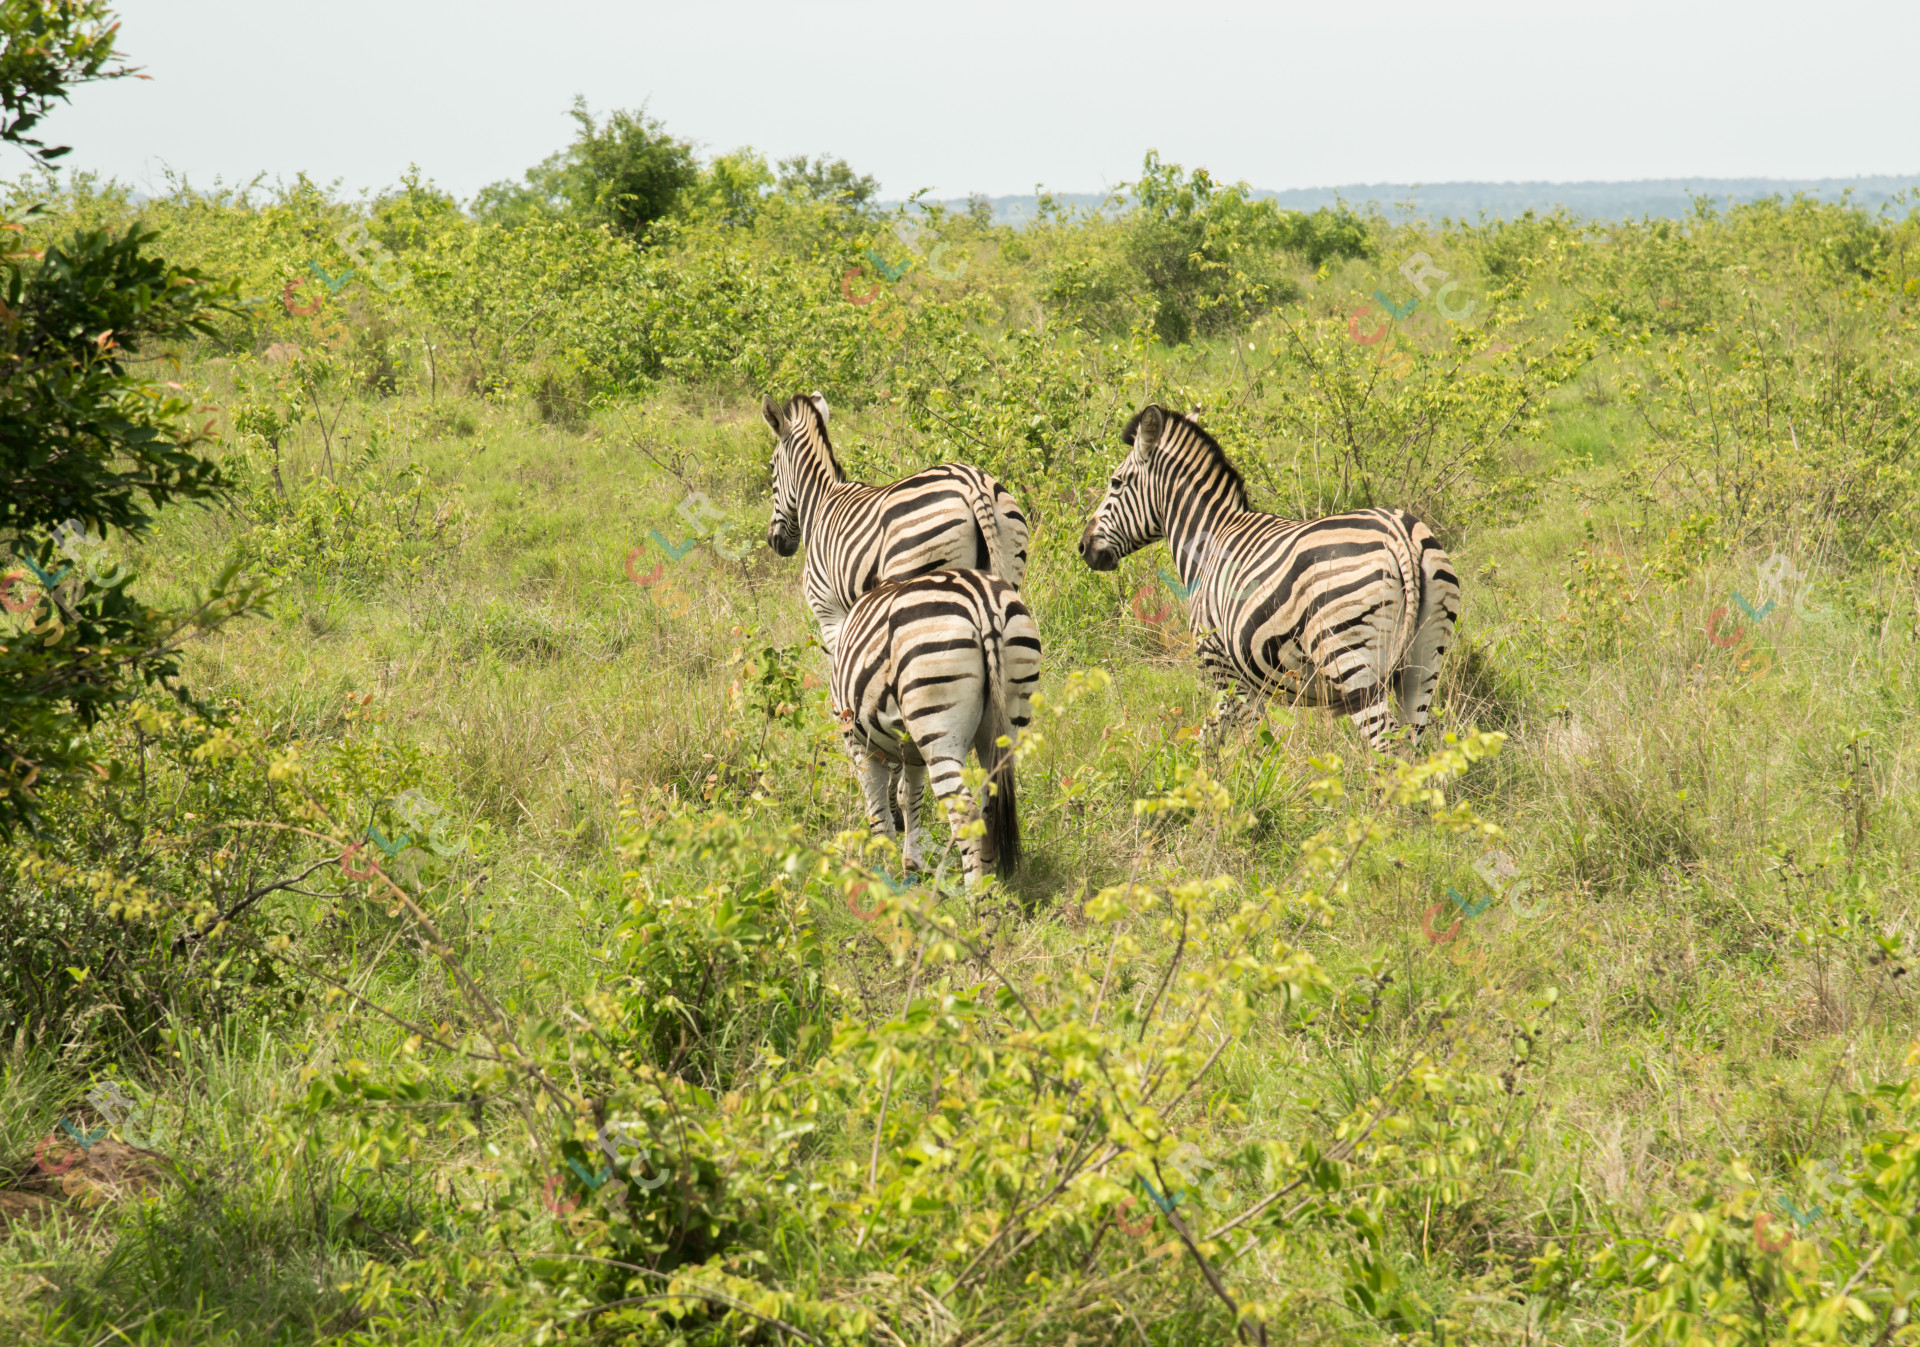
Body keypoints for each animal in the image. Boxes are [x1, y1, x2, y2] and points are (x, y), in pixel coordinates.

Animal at [761, 393, 1029, 658]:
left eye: (772, 466)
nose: (774, 542)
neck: (820, 500)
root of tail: (974, 485)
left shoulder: (827, 609)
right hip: (1008, 567)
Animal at [831, 569, 1040, 886]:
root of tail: (983, 600)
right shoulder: (914, 752)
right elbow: (909, 798)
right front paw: (911, 863)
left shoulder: (860, 746)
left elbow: (879, 816)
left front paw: (884, 873)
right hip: (1007, 716)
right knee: (988, 808)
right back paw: (990, 881)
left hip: (938, 723)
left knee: (966, 813)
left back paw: (974, 892)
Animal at [1078, 404, 1458, 751]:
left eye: (1115, 482)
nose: (1083, 547)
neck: (1209, 541)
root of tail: (1401, 537)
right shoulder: (1243, 678)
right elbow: (1213, 737)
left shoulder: (1223, 666)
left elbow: (1247, 742)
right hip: (1425, 658)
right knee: (1411, 747)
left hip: (1349, 654)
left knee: (1387, 750)